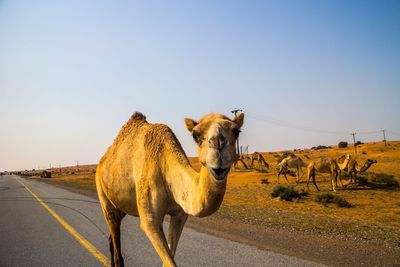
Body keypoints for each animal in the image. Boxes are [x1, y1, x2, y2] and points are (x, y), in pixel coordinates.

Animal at [95, 112, 244, 266]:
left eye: (236, 131)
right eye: (195, 135)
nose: (218, 145)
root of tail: (101, 163)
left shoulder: (179, 215)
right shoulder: (150, 220)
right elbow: (168, 259)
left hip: (122, 207)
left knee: (112, 237)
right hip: (103, 196)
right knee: (114, 231)